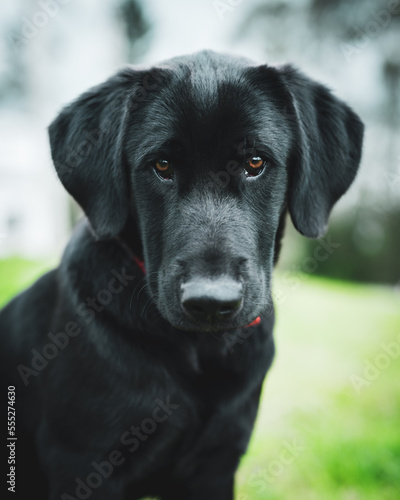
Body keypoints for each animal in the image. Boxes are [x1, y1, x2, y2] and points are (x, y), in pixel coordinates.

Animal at [0, 51, 362, 500]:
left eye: (255, 162)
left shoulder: (217, 464)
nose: (211, 302)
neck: (199, 352)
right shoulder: (84, 465)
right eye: (162, 165)